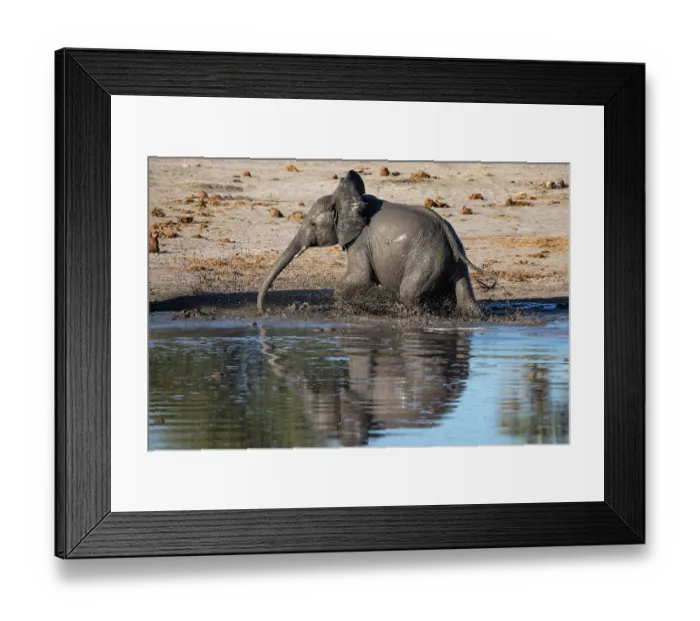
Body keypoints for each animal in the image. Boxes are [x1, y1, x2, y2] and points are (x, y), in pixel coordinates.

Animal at [257, 170, 490, 317]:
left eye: (313, 224)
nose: (264, 311)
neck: (349, 199)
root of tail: (449, 236)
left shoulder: (359, 241)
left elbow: (360, 276)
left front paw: (342, 309)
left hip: (427, 259)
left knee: (409, 293)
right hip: (451, 261)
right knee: (465, 298)